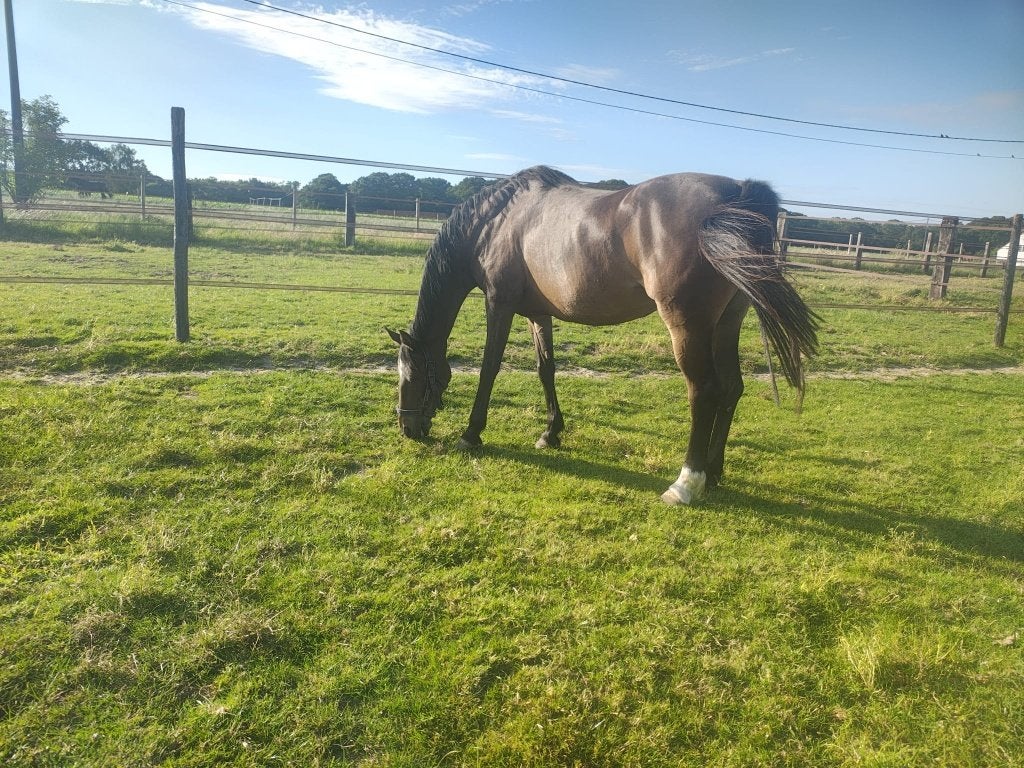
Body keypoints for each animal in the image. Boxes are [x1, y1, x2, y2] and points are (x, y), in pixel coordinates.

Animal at [386, 166, 818, 504]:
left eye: (412, 375)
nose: (408, 430)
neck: (495, 222)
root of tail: (738, 193)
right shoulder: (537, 314)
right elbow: (546, 370)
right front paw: (551, 433)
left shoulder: (499, 303)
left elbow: (489, 368)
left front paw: (471, 433)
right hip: (727, 323)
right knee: (731, 388)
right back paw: (713, 472)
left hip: (687, 325)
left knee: (705, 392)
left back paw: (685, 484)